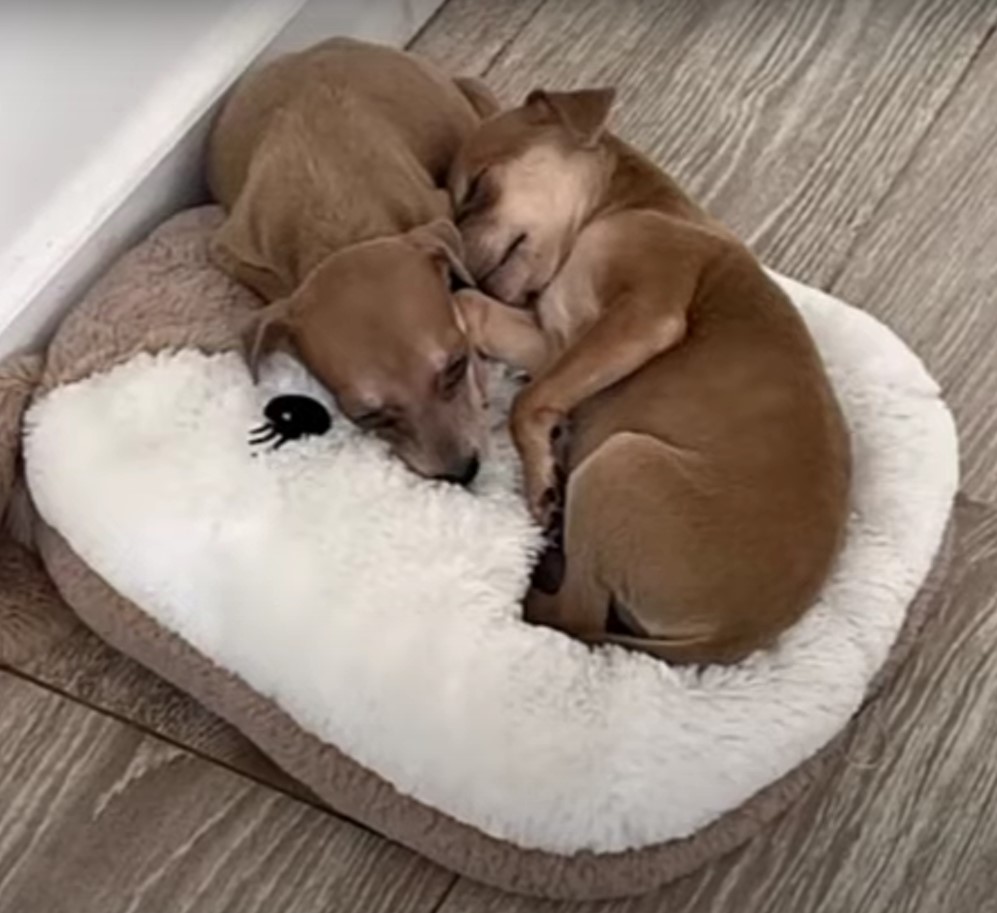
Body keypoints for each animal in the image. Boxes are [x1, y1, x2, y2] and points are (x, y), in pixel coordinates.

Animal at [452, 89, 848, 664]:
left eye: (479, 186)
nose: (455, 259)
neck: (621, 208)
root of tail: (729, 638)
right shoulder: (557, 342)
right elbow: (483, 318)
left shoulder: (642, 317)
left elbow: (528, 403)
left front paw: (540, 476)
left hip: (615, 465)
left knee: (570, 615)